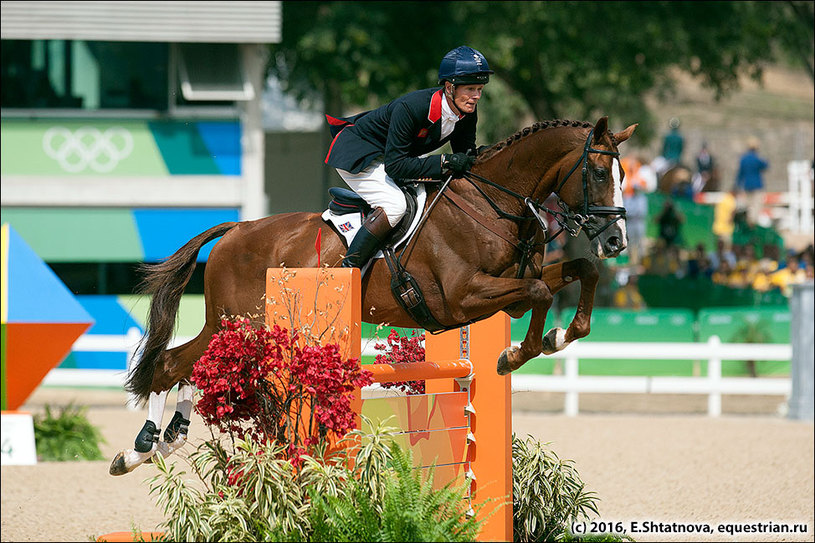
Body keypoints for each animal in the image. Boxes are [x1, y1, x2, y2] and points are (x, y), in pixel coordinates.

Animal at [111, 117, 640, 474]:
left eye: (622, 176)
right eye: (598, 174)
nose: (617, 241)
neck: (494, 205)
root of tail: (236, 229)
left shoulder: (506, 292)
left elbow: (581, 272)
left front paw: (560, 336)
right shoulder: (462, 298)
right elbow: (538, 291)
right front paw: (517, 353)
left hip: (239, 329)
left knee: (188, 366)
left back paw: (165, 440)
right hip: (237, 323)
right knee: (171, 363)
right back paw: (140, 449)